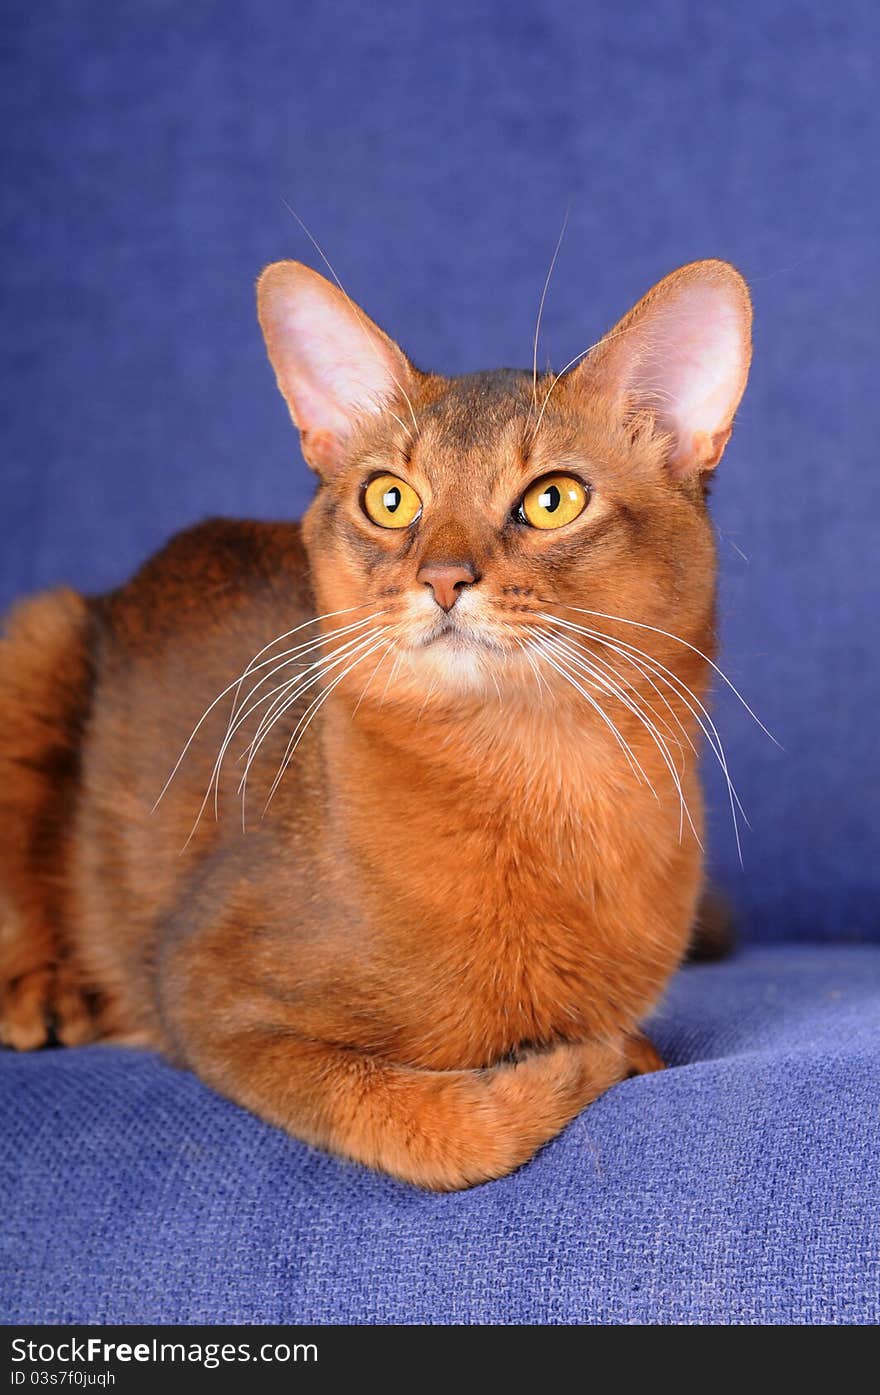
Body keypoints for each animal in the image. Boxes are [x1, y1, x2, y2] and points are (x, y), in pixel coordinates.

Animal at [0, 253, 753, 1188]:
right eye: (390, 499)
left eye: (553, 500)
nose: (443, 577)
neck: (533, 780)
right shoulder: (207, 991)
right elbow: (433, 1126)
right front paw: (584, 1061)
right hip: (39, 634)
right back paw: (45, 990)